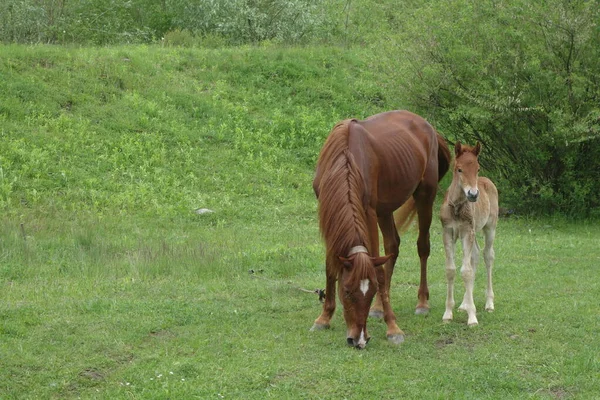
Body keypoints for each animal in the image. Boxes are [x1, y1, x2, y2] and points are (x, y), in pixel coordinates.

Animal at [312, 109, 448, 346]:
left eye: (370, 290)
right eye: (347, 291)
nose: (358, 340)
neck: (345, 158)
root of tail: (428, 126)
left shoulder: (368, 212)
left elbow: (377, 270)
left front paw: (392, 327)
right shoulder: (328, 211)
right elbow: (331, 265)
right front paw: (324, 317)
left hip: (424, 195)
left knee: (423, 247)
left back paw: (422, 302)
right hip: (385, 209)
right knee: (392, 246)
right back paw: (378, 308)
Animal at [438, 142, 500, 326]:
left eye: (477, 168)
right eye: (459, 169)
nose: (473, 194)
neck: (457, 207)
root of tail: (488, 181)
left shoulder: (467, 232)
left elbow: (466, 271)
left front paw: (472, 317)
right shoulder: (448, 232)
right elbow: (451, 270)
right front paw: (448, 313)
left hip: (490, 227)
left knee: (488, 256)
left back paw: (489, 303)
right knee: (475, 256)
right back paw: (464, 304)